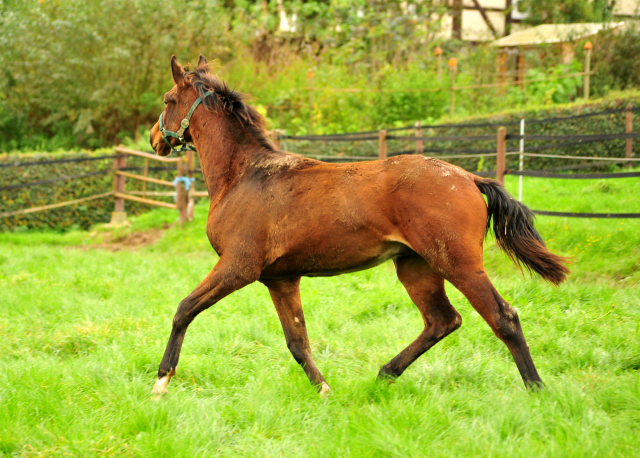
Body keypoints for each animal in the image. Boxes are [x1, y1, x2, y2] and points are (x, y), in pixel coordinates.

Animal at [150, 55, 568, 396]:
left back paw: (537, 390)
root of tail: (468, 177)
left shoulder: (239, 265)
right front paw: (325, 391)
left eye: (168, 100)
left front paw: (161, 381)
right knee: (442, 320)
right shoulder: (280, 279)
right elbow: (297, 341)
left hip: (458, 263)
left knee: (502, 317)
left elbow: (184, 308)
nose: (155, 139)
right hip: (416, 267)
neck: (244, 175)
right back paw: (384, 374)